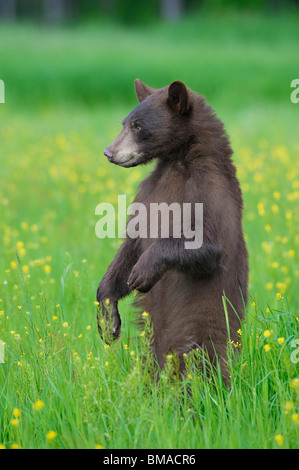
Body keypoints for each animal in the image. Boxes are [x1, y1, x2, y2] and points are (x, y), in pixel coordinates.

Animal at [96, 79, 248, 380]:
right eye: (125, 123)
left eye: (138, 126)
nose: (109, 152)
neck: (178, 160)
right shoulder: (149, 193)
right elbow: (131, 243)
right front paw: (108, 319)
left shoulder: (208, 187)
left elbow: (207, 242)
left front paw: (141, 272)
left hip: (202, 325)